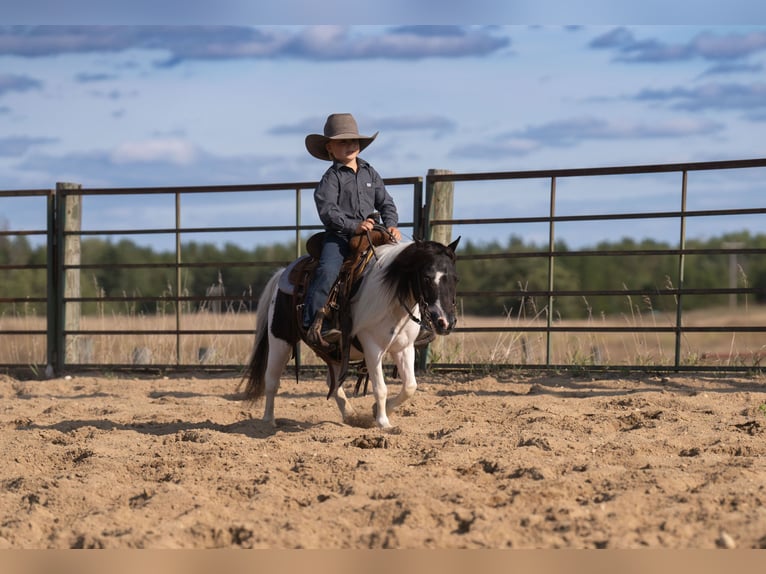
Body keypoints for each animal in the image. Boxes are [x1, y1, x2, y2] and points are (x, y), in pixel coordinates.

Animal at [241, 237, 460, 429]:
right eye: (427, 277)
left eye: (455, 278)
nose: (445, 322)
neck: (390, 298)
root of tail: (282, 274)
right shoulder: (372, 347)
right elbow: (380, 387)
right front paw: (384, 423)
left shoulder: (404, 348)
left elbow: (410, 386)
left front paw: (378, 411)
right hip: (280, 340)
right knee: (272, 380)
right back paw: (268, 421)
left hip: (334, 351)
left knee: (333, 384)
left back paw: (351, 415)